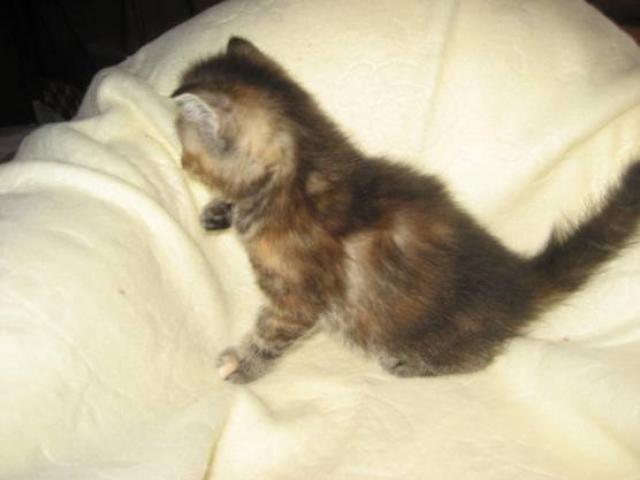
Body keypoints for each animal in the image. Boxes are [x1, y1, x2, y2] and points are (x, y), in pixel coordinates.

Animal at [173, 37, 640, 383]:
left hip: (427, 334)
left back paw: (412, 365)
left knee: (480, 358)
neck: (301, 170)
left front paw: (241, 365)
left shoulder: (299, 297)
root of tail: (518, 281)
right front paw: (218, 212)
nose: (180, 163)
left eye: (186, 150)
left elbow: (270, 334)